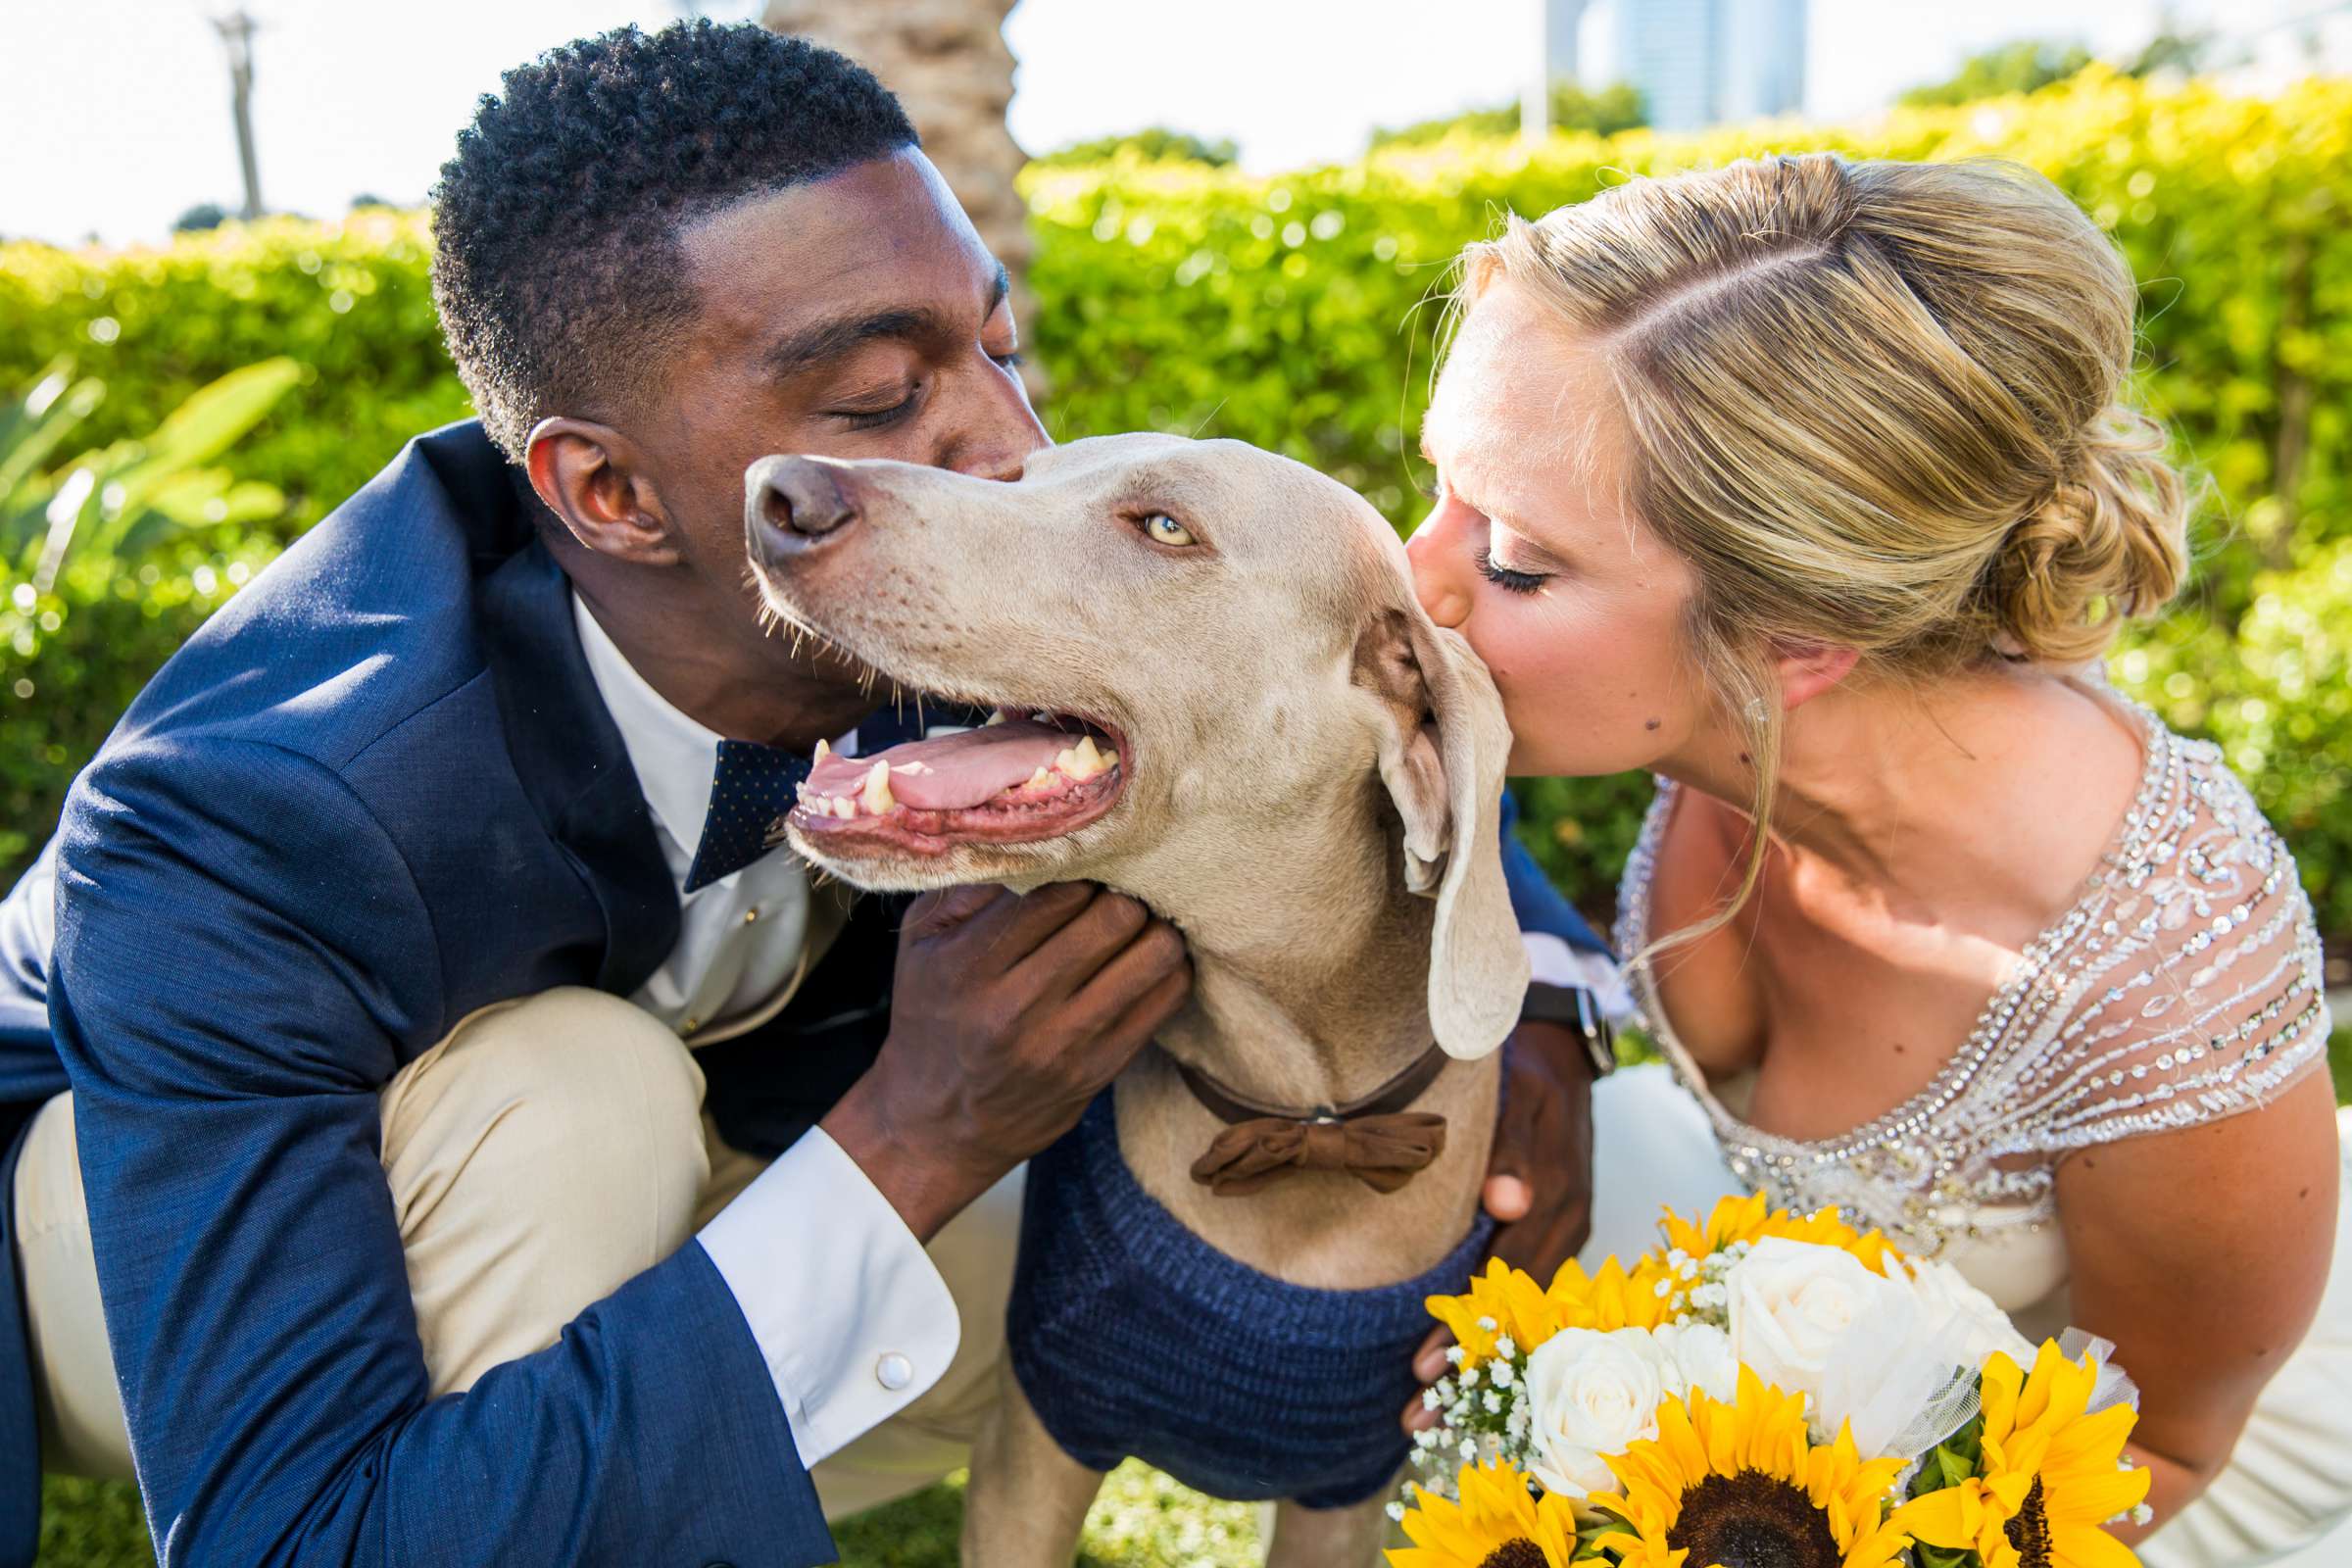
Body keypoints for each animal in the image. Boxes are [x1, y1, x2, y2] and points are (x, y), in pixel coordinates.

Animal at [743, 432, 1533, 1568]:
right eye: (1019, 477)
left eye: (1165, 527)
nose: (779, 491)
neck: (1308, 1120)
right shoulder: (1036, 1436)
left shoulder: (1346, 1495)